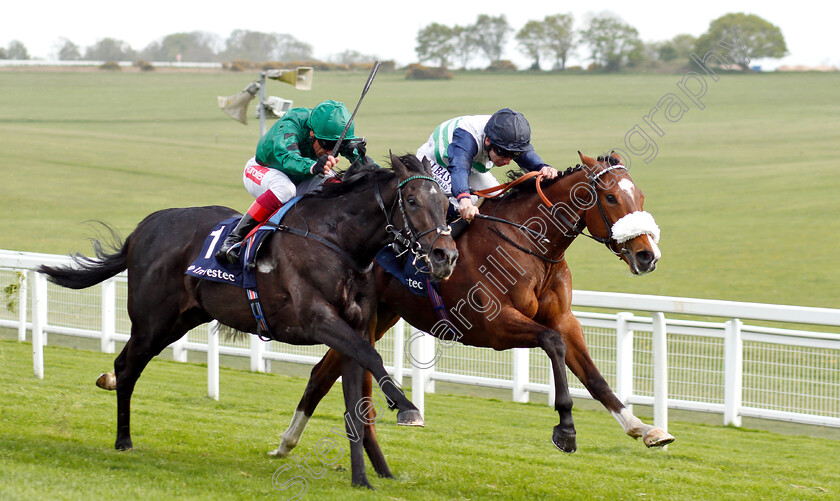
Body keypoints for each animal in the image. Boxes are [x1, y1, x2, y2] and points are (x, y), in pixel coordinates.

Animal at [37, 152, 460, 488]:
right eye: (411, 199)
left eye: (446, 204)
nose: (445, 256)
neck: (338, 240)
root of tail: (142, 229)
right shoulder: (319, 320)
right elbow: (371, 359)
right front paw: (407, 408)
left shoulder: (354, 328)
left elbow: (354, 404)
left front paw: (362, 480)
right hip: (151, 321)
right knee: (126, 367)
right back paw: (123, 441)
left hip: (179, 321)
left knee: (128, 365)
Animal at [276, 149, 676, 476]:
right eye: (610, 197)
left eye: (640, 196)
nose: (648, 255)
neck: (531, 244)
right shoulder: (494, 327)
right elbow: (553, 343)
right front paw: (565, 429)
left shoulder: (564, 319)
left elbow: (593, 376)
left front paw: (643, 428)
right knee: (329, 373)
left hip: (380, 316)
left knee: (323, 373)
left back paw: (287, 442)